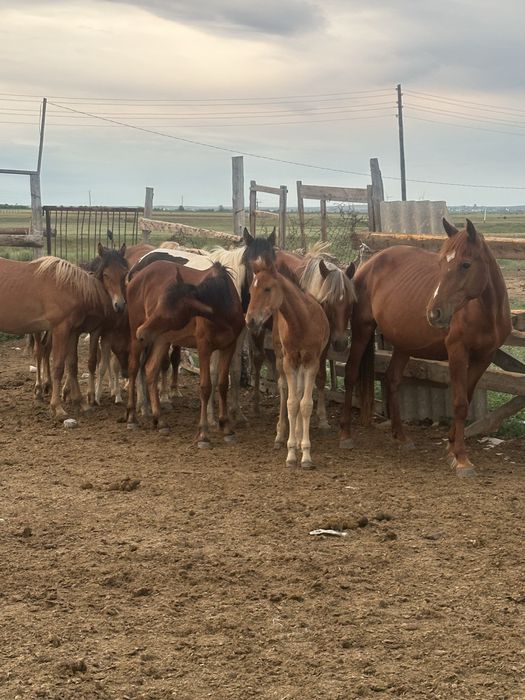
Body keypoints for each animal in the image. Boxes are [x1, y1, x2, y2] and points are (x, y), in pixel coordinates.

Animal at [125, 259, 245, 446]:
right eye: (158, 305)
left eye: (168, 313)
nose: (142, 332)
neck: (223, 307)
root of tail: (136, 276)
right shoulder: (204, 347)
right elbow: (205, 387)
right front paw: (203, 434)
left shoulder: (229, 347)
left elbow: (223, 385)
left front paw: (226, 427)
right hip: (137, 336)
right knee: (133, 368)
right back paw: (131, 417)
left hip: (161, 339)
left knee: (151, 369)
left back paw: (160, 420)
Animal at [246, 255, 330, 469]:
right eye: (250, 290)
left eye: (267, 288)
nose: (250, 320)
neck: (301, 322)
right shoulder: (289, 360)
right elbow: (292, 403)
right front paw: (291, 454)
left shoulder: (311, 362)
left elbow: (305, 404)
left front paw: (306, 455)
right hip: (283, 359)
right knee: (287, 391)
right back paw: (284, 437)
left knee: (299, 394)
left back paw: (299, 439)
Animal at [339, 219, 511, 477]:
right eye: (441, 264)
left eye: (465, 264)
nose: (434, 313)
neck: (486, 312)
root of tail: (369, 263)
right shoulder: (457, 353)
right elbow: (459, 402)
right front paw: (461, 458)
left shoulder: (484, 357)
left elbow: (467, 398)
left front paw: (451, 447)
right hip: (362, 330)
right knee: (350, 374)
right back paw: (345, 434)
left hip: (403, 343)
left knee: (391, 380)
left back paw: (401, 437)